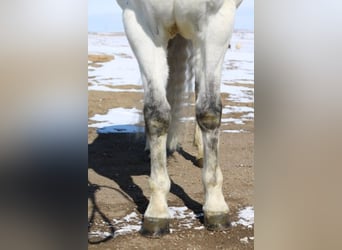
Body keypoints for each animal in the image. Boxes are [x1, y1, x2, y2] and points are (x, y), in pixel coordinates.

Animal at [116, 0, 242, 236]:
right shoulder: (141, 24)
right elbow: (156, 113)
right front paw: (156, 211)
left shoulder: (216, 23)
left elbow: (209, 110)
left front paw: (216, 207)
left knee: (198, 88)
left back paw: (200, 153)